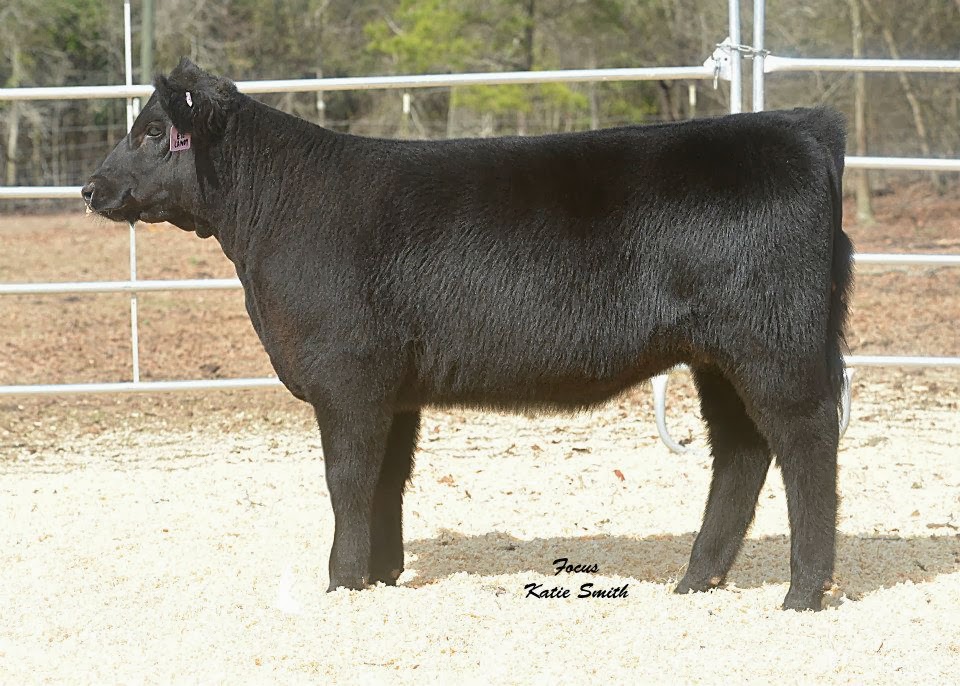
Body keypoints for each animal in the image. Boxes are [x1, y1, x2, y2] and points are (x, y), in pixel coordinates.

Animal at [83, 58, 853, 611]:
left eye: (152, 131)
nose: (91, 188)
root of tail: (800, 127)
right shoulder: (394, 387)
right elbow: (387, 477)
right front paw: (381, 574)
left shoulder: (348, 376)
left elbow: (347, 477)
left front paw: (340, 581)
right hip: (717, 355)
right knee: (743, 452)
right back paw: (697, 580)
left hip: (773, 344)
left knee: (806, 441)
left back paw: (803, 592)